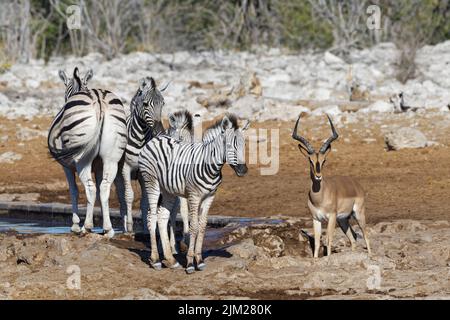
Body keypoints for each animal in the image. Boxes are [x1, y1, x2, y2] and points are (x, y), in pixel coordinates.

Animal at [47, 67, 127, 238]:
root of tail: (99, 100)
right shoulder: (99, 166)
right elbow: (100, 191)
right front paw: (103, 225)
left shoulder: (66, 166)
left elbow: (74, 191)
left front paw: (76, 225)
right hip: (112, 157)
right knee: (104, 187)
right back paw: (108, 230)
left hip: (82, 159)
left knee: (90, 188)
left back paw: (87, 227)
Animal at [138, 112, 250, 272]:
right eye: (228, 145)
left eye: (244, 145)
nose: (243, 170)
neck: (210, 165)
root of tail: (155, 139)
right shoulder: (193, 196)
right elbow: (194, 226)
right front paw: (190, 262)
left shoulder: (209, 196)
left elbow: (202, 226)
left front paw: (200, 260)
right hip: (151, 182)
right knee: (152, 217)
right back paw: (156, 260)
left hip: (168, 190)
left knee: (162, 217)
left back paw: (171, 260)